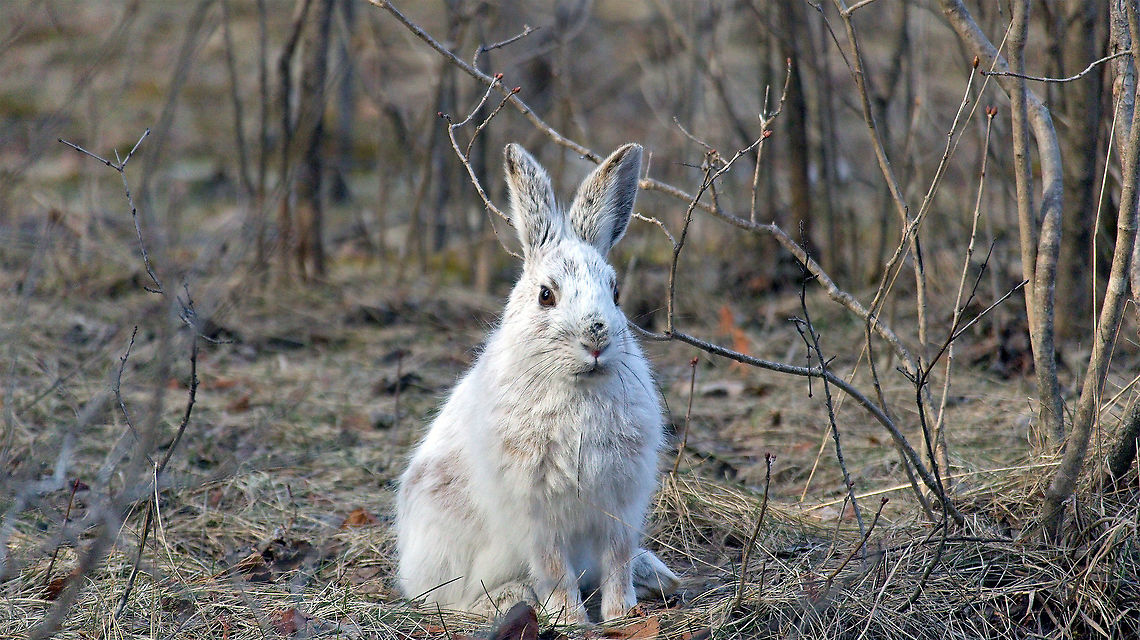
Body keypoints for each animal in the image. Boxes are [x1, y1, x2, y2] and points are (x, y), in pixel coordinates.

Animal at [395, 142, 680, 624]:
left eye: (615, 291)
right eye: (547, 295)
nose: (596, 338)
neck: (578, 387)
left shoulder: (620, 503)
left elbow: (617, 560)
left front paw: (622, 615)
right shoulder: (535, 511)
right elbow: (553, 567)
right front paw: (570, 619)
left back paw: (657, 575)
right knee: (453, 601)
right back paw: (513, 598)